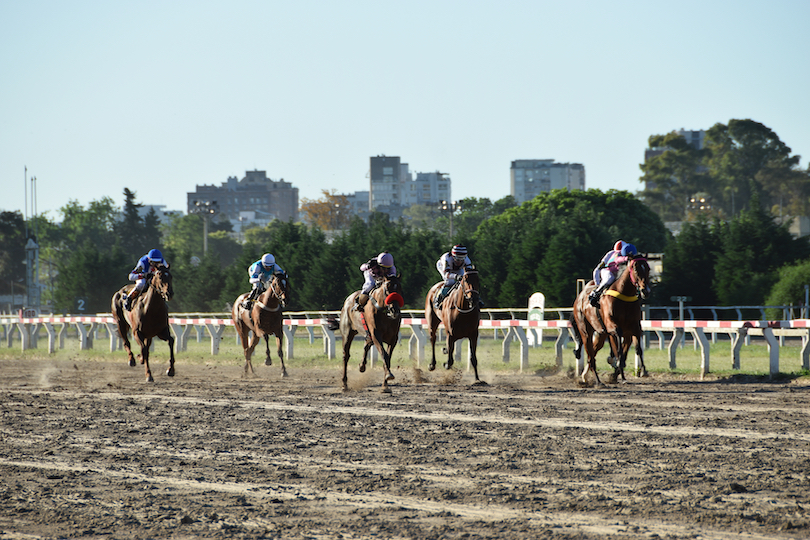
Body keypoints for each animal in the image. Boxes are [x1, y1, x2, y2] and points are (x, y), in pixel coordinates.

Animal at [568, 256, 652, 386]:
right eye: (636, 269)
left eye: (648, 268)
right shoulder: (614, 327)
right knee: (590, 355)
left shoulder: (634, 328)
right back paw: (597, 381)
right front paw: (619, 371)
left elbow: (637, 349)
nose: (645, 291)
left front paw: (643, 370)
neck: (624, 295)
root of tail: (579, 297)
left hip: (601, 333)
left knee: (594, 352)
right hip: (585, 331)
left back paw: (585, 376)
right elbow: (619, 351)